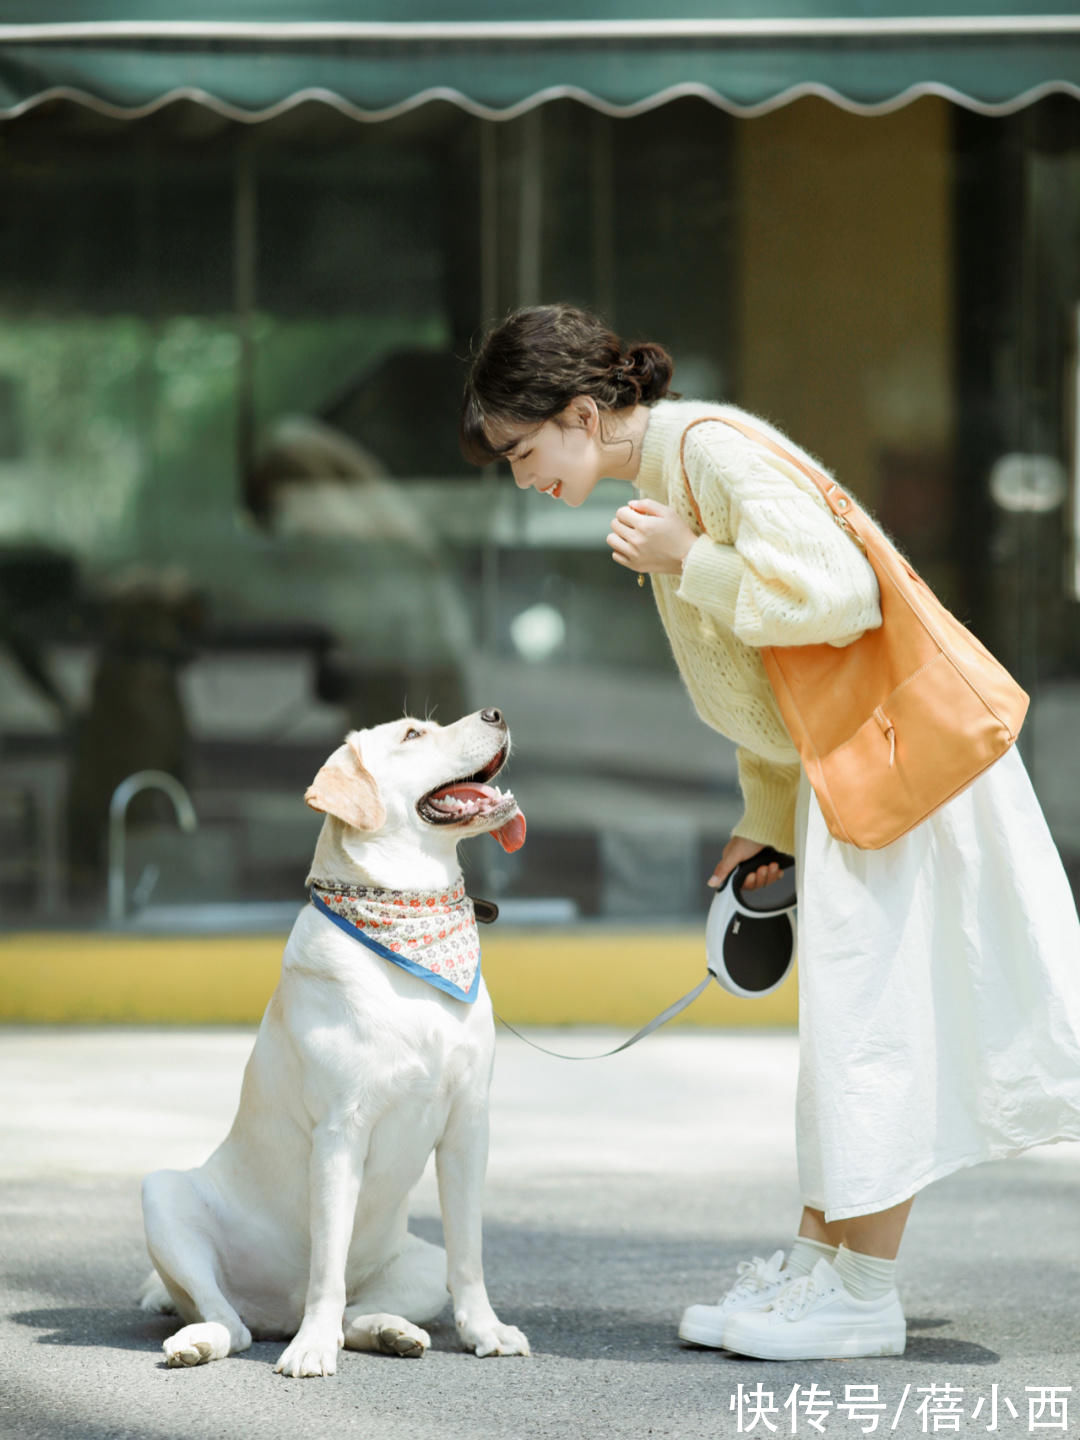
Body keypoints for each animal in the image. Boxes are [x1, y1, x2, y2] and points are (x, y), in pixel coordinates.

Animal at [140, 714, 532, 1376]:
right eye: (412, 735)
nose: (497, 714)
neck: (408, 921)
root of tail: (275, 1314)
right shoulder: (339, 1132)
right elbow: (327, 1265)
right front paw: (311, 1348)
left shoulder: (468, 1124)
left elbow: (470, 1255)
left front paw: (485, 1330)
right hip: (162, 1195)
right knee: (230, 1320)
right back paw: (206, 1341)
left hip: (419, 1260)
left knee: (362, 1311)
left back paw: (392, 1331)